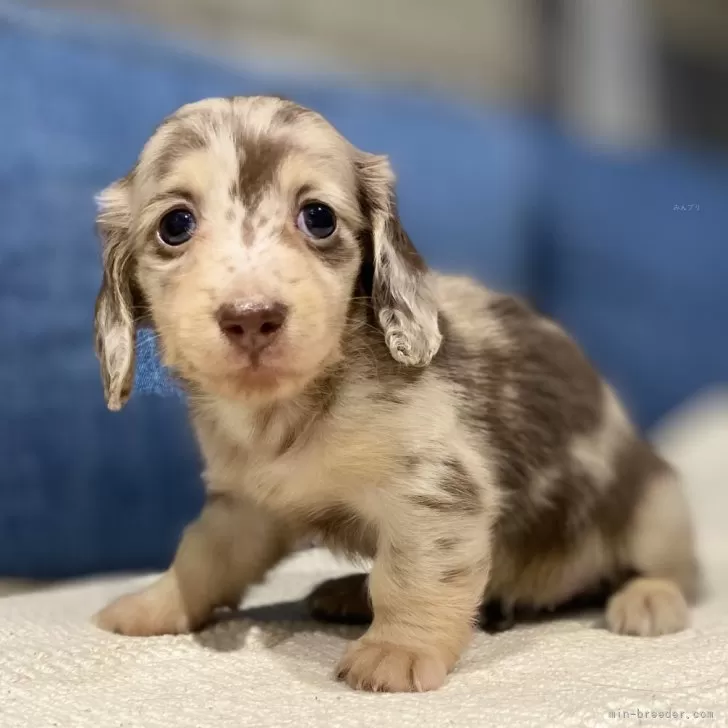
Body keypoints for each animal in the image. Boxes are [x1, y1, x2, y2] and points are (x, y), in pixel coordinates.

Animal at [92, 96, 700, 692]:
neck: (293, 413)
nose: (251, 317)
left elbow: (411, 575)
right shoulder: (246, 507)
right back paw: (346, 591)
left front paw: (397, 649)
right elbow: (203, 556)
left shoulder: (435, 494)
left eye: (318, 217)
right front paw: (156, 603)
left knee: (674, 572)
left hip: (654, 507)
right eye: (176, 224)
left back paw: (648, 599)